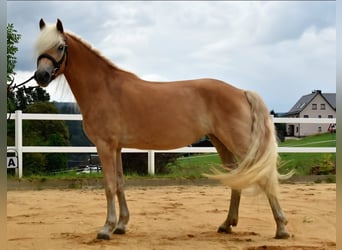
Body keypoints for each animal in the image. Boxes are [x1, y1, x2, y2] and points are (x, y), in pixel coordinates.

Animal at [34, 18, 292, 241]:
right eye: (38, 48)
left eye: (60, 46)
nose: (40, 76)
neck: (104, 88)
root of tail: (241, 92)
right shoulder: (116, 148)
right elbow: (119, 183)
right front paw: (121, 225)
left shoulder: (104, 146)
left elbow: (108, 186)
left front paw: (106, 228)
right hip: (221, 142)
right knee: (236, 178)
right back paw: (227, 224)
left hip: (239, 142)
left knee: (265, 177)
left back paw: (281, 228)